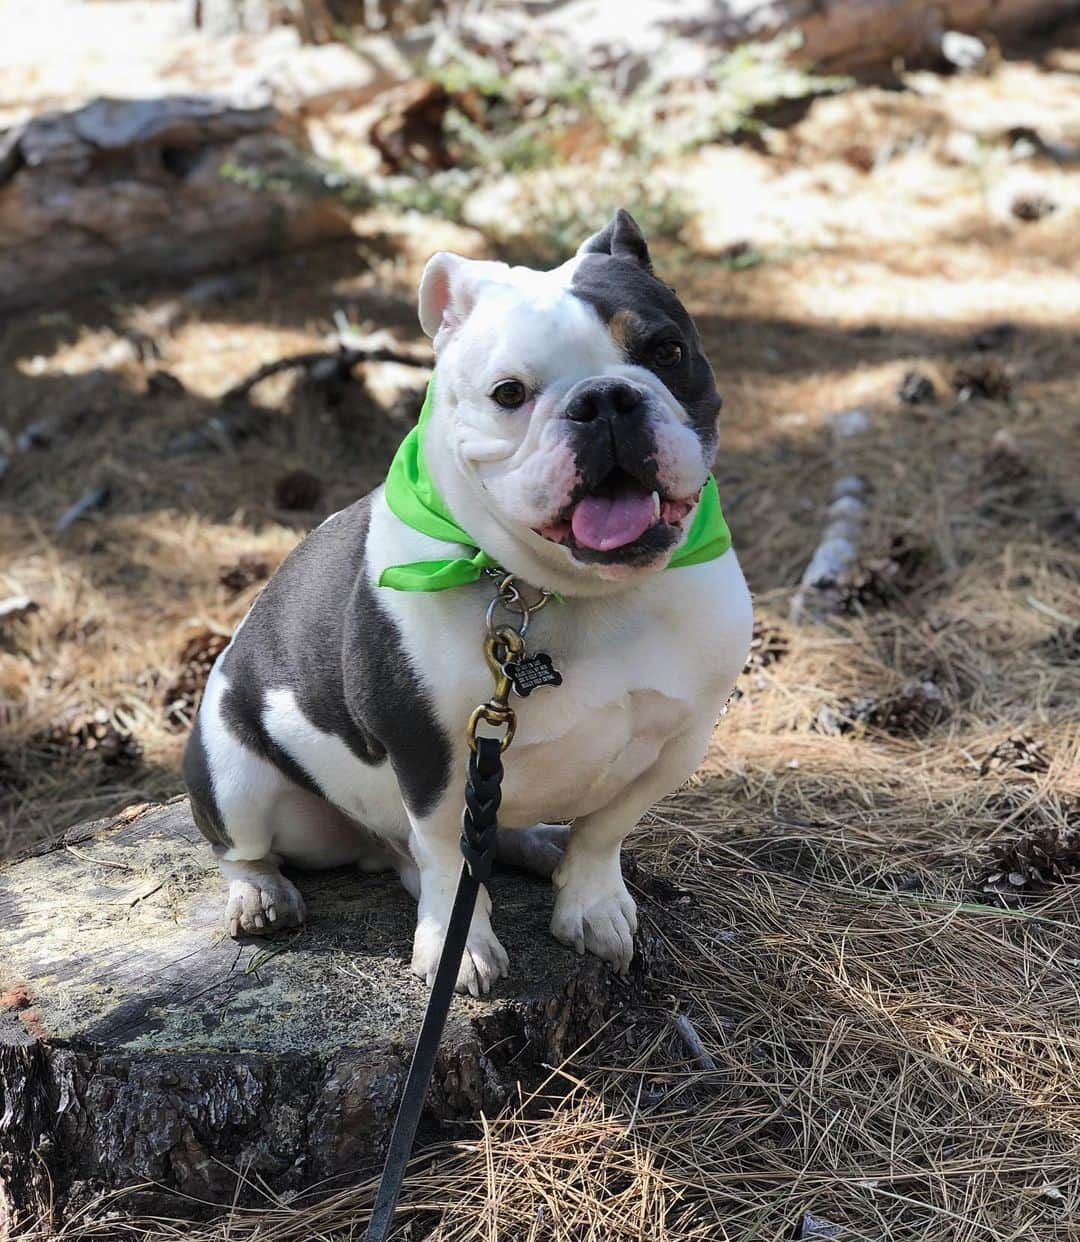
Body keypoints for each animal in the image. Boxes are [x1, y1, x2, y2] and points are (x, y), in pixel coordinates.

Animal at [183, 208, 754, 993]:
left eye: (667, 350)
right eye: (508, 393)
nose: (604, 399)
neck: (560, 592)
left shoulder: (677, 741)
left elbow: (605, 830)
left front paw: (591, 906)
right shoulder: (431, 759)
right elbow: (449, 861)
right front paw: (460, 949)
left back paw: (534, 842)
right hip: (230, 769)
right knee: (243, 845)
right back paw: (260, 895)